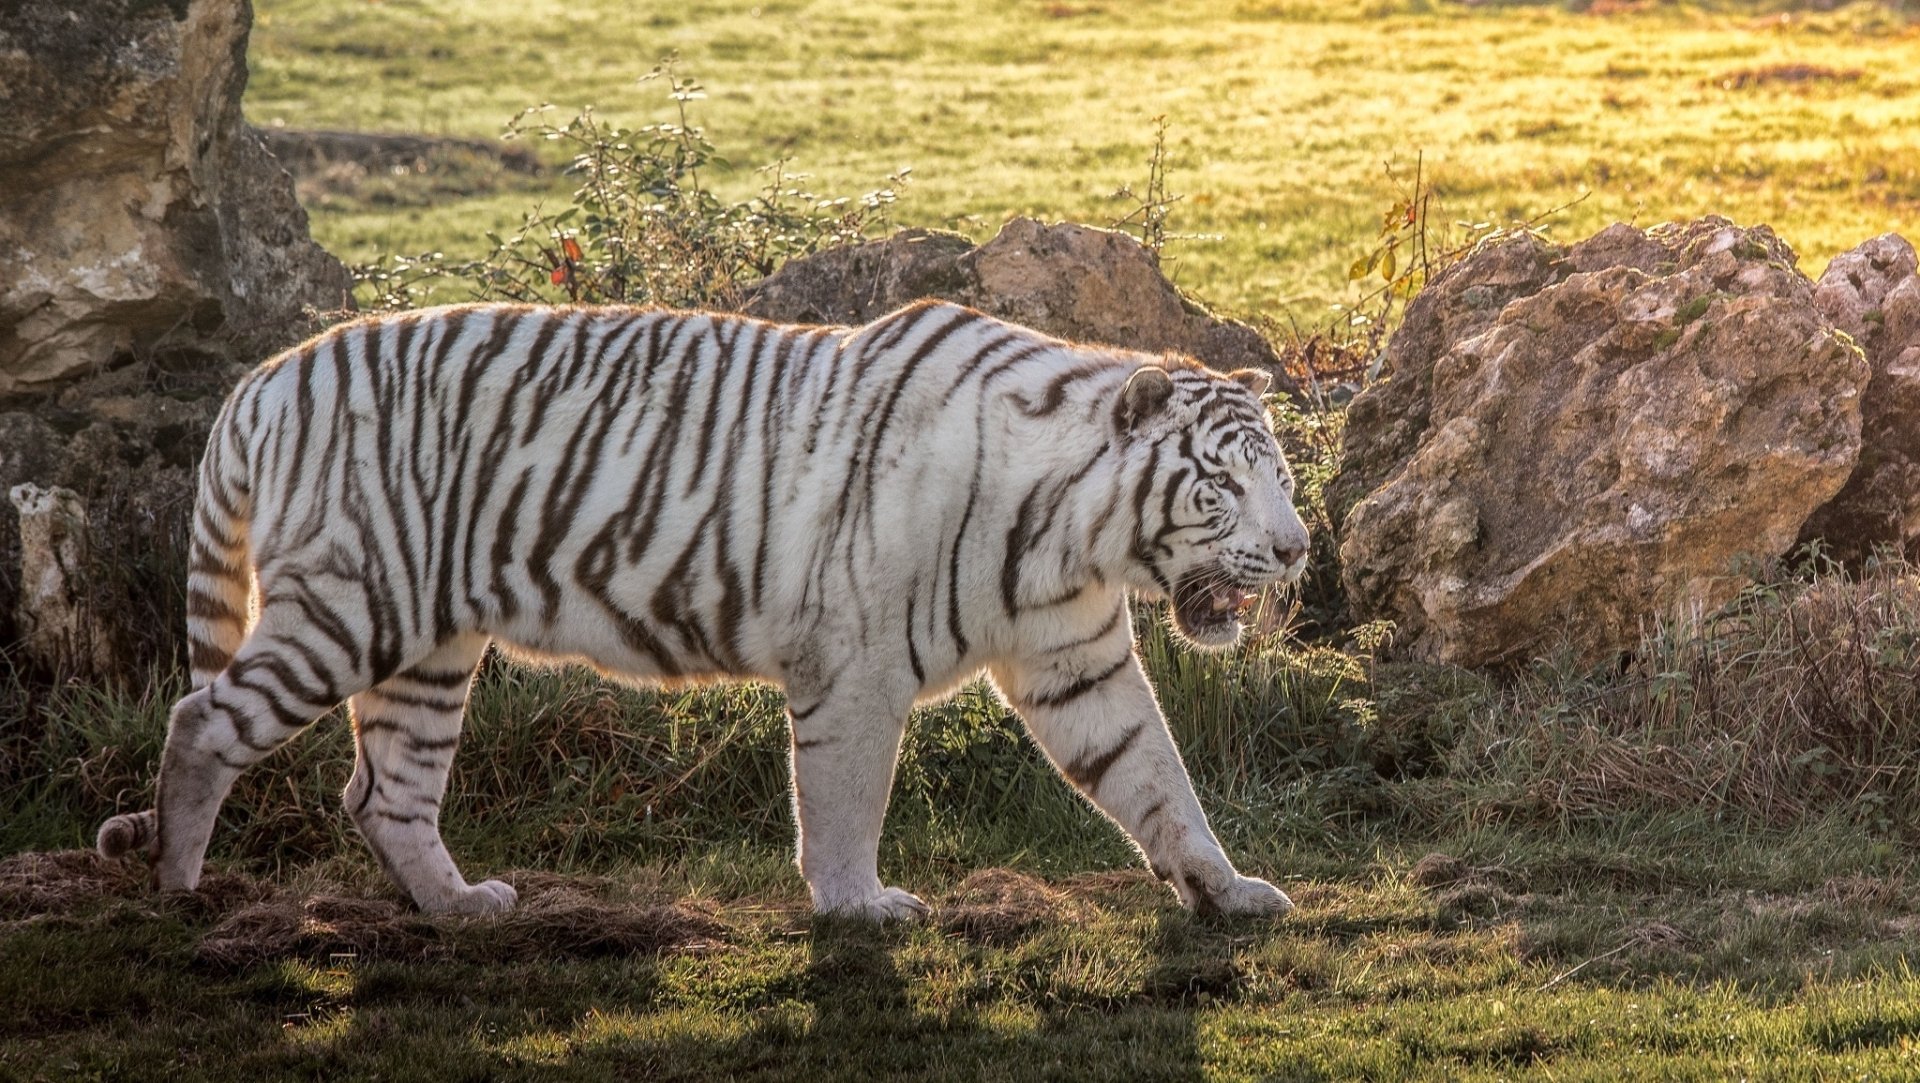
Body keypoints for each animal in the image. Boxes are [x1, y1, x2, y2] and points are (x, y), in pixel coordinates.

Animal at [94, 299, 1311, 920]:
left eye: (1283, 477)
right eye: (1223, 483)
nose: (1299, 548)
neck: (1073, 535)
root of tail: (262, 377)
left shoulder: (1078, 661)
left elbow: (1155, 775)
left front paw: (1229, 887)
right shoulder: (855, 665)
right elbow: (843, 799)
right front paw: (857, 908)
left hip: (430, 643)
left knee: (383, 792)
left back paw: (463, 906)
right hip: (351, 604)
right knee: (203, 721)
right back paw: (177, 891)